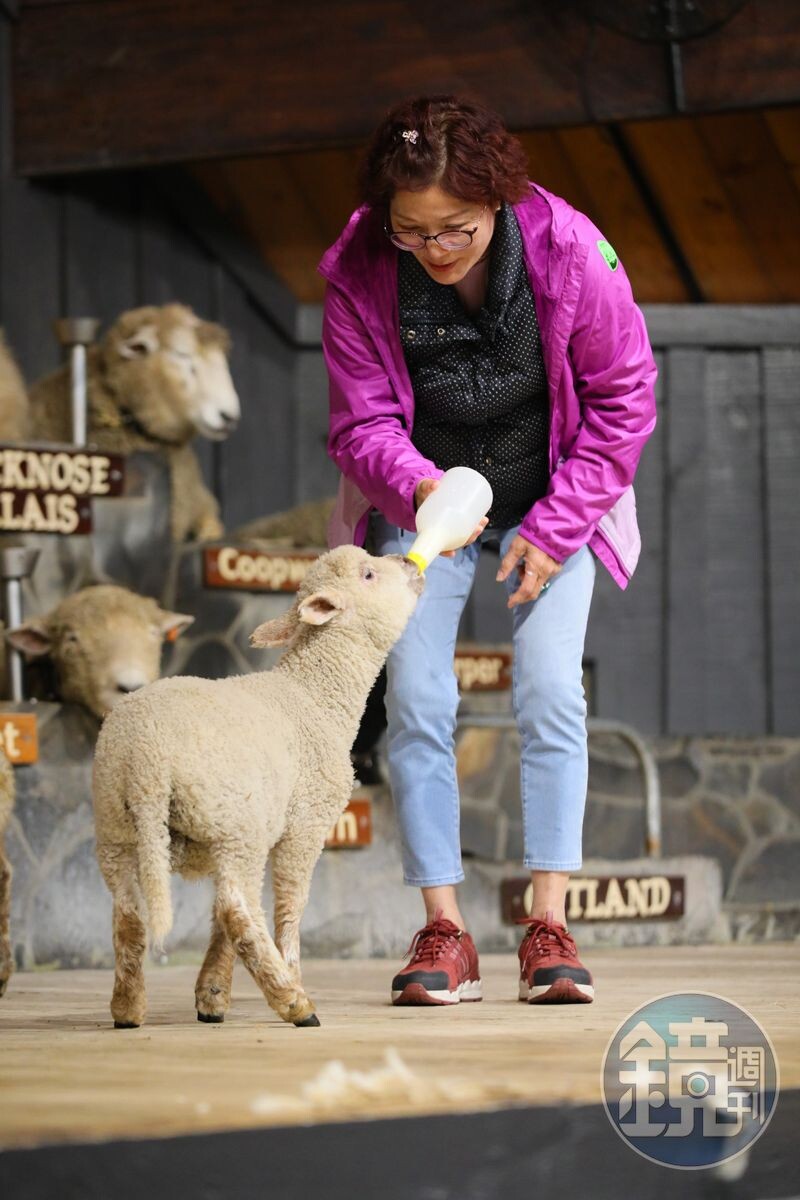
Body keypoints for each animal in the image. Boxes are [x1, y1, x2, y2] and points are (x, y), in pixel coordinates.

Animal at [92, 544, 424, 1022]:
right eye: (368, 574)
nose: (410, 563)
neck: (314, 695)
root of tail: (145, 761)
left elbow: (217, 916)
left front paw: (212, 992)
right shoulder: (305, 824)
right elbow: (289, 905)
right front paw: (286, 974)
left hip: (121, 828)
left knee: (130, 915)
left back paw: (128, 1008)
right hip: (235, 824)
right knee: (238, 909)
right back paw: (293, 1001)